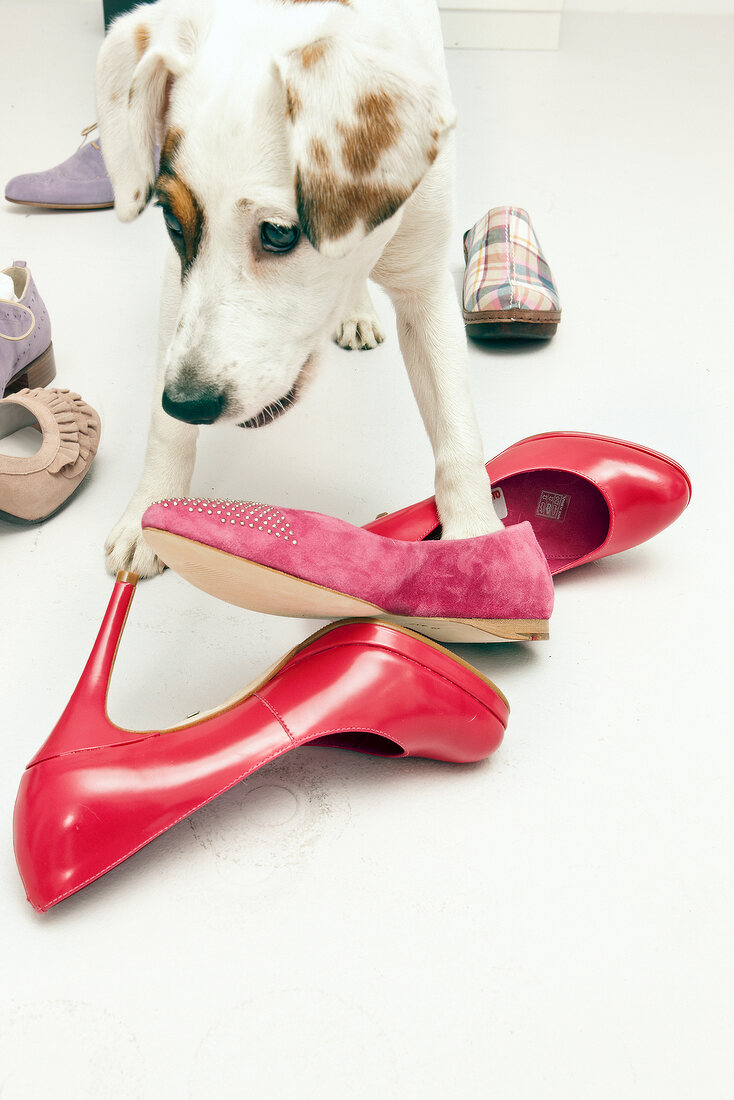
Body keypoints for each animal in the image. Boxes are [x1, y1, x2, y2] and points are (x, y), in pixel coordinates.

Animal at [96, 0, 499, 576]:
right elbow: (162, 424)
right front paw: (150, 510)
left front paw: (477, 542)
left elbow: (456, 423)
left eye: (279, 233)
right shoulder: (179, 285)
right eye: (173, 223)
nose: (189, 403)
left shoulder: (425, 288)